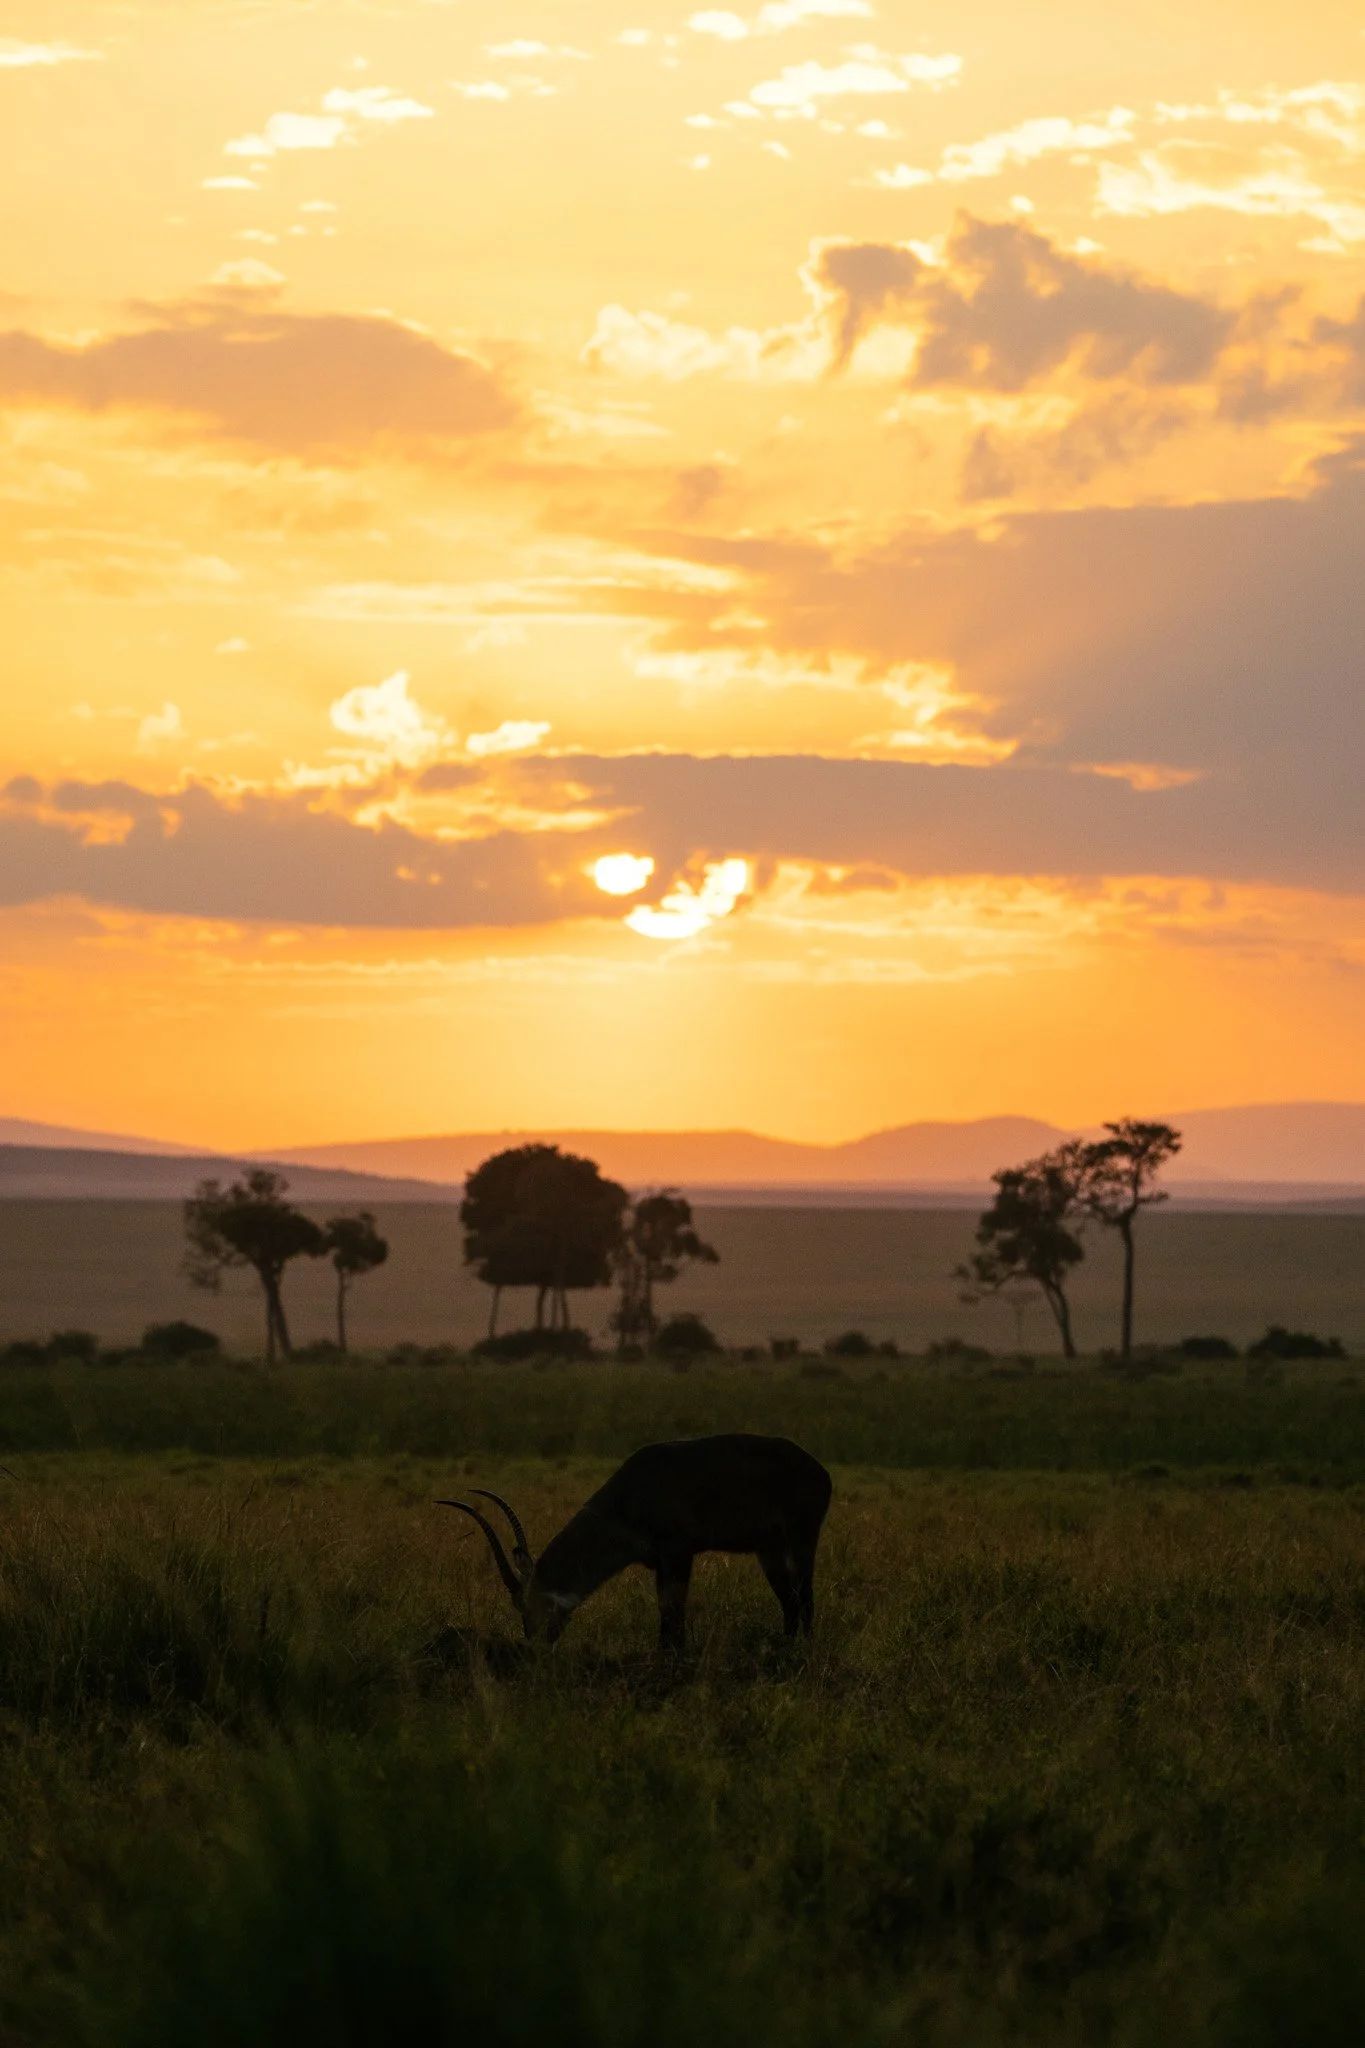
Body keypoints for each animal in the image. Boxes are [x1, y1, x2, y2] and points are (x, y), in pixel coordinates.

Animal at [440, 1433, 832, 1654]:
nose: (535, 1645)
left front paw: (672, 1656)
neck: (628, 1495)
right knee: (789, 1600)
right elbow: (664, 1609)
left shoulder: (679, 1553)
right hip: (769, 1550)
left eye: (525, 1605)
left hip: (801, 1538)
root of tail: (819, 1470)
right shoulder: (659, 1561)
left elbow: (673, 1609)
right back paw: (783, 1649)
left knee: (806, 1596)